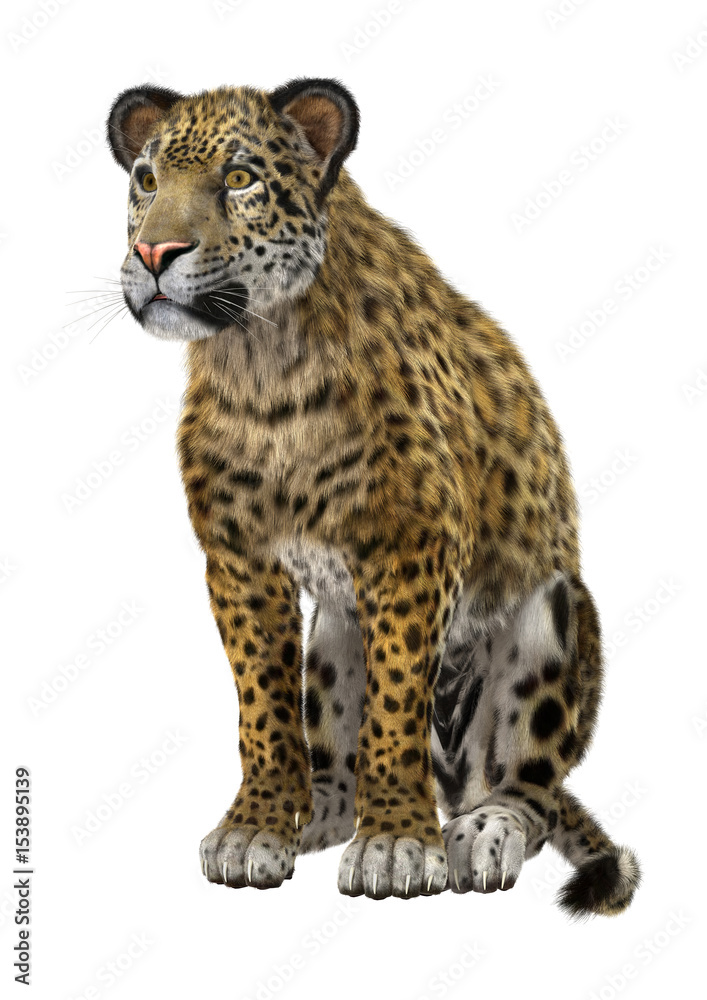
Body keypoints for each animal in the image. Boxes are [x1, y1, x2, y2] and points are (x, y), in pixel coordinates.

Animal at [106, 76, 641, 916]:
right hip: (332, 628)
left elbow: (395, 701)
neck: (260, 363)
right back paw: (317, 811)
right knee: (335, 750)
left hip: (552, 613)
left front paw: (396, 842)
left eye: (239, 179)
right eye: (147, 180)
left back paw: (477, 830)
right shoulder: (239, 557)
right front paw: (257, 825)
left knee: (527, 785)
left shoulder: (410, 547)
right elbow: (262, 702)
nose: (153, 253)